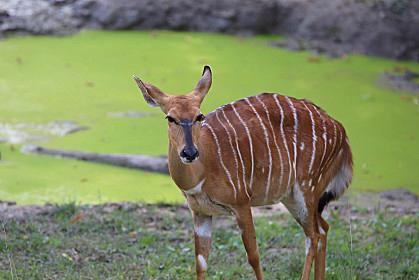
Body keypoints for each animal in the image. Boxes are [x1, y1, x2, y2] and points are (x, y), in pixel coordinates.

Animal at [135, 66, 354, 280]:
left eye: (199, 116)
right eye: (170, 118)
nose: (189, 152)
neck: (202, 173)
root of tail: (340, 129)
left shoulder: (241, 203)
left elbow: (254, 256)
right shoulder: (200, 212)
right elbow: (201, 262)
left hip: (307, 188)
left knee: (313, 235)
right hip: (292, 197)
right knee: (323, 228)